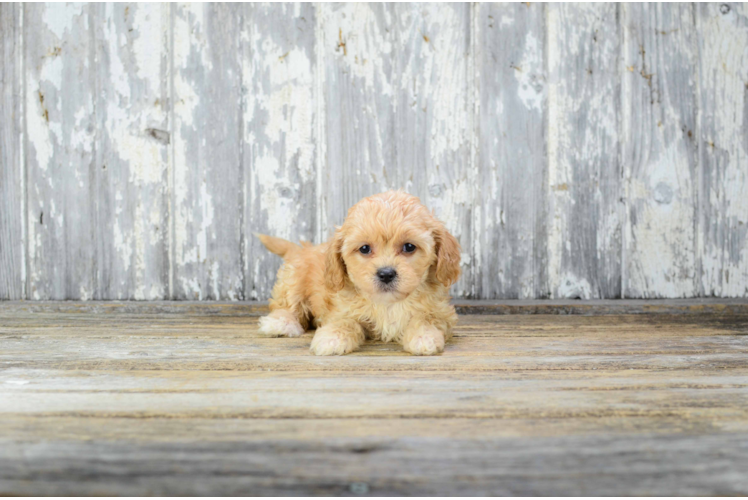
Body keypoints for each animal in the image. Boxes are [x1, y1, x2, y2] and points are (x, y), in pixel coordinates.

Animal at [254, 188, 458, 356]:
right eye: (365, 249)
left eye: (409, 247)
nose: (386, 274)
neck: (388, 304)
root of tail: (304, 249)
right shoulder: (342, 309)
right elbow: (346, 321)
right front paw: (332, 338)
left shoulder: (442, 312)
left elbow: (426, 318)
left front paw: (424, 337)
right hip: (293, 279)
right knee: (288, 305)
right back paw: (281, 323)